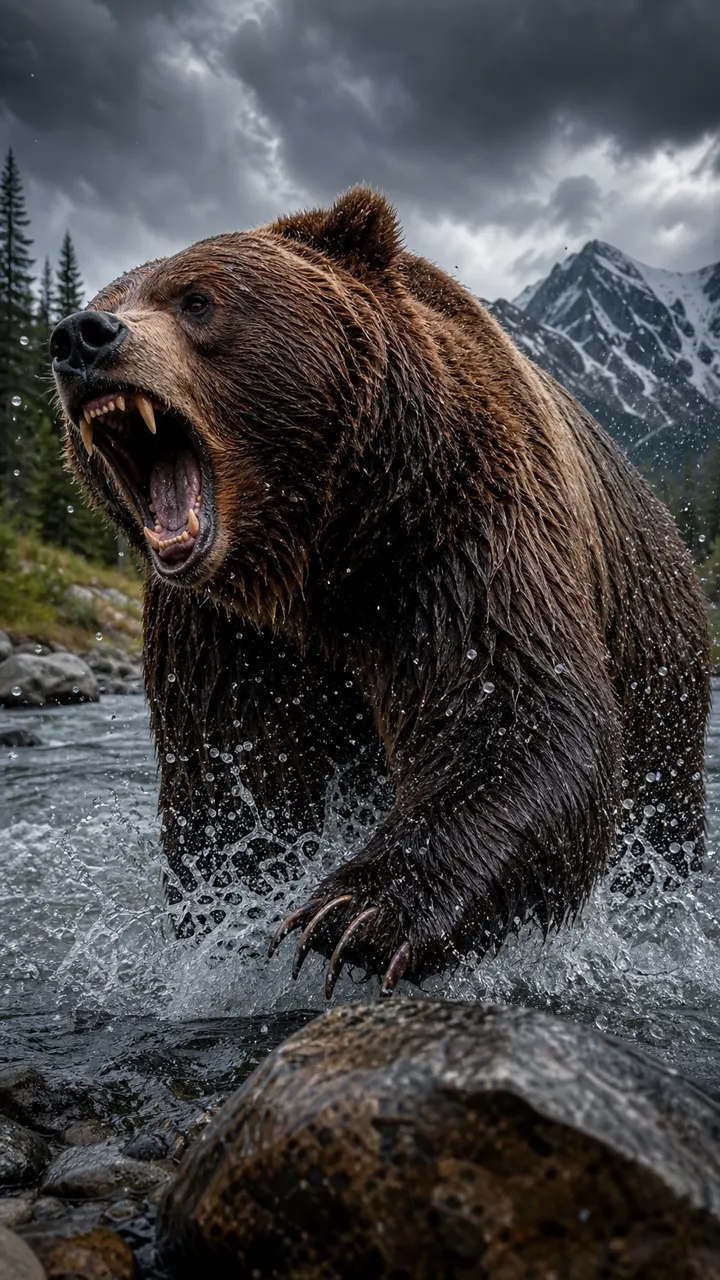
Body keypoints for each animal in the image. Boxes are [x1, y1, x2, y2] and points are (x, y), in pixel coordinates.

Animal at [50, 186, 710, 997]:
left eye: (196, 299)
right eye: (108, 296)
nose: (80, 337)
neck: (320, 552)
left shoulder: (458, 530)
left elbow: (514, 712)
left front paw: (356, 913)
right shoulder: (221, 631)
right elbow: (233, 783)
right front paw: (237, 914)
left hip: (660, 672)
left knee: (663, 813)